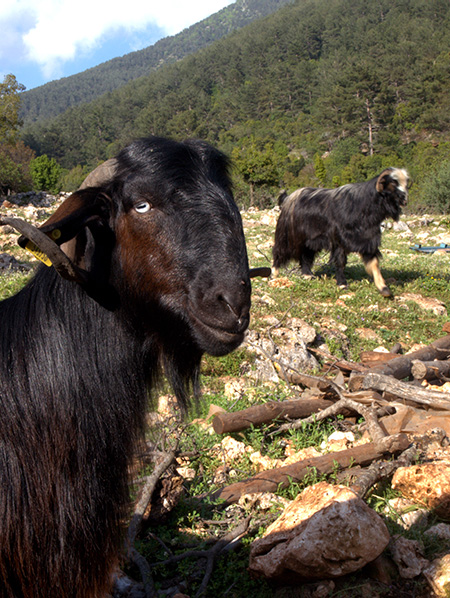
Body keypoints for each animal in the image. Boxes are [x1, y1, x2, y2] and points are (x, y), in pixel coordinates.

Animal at [272, 170, 410, 296]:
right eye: (393, 183)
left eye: (406, 183)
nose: (405, 200)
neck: (363, 206)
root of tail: (288, 198)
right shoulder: (339, 241)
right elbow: (340, 262)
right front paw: (342, 284)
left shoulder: (368, 241)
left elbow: (374, 264)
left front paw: (384, 289)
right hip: (287, 237)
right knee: (279, 252)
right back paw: (274, 275)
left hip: (308, 241)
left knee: (305, 256)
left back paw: (308, 275)